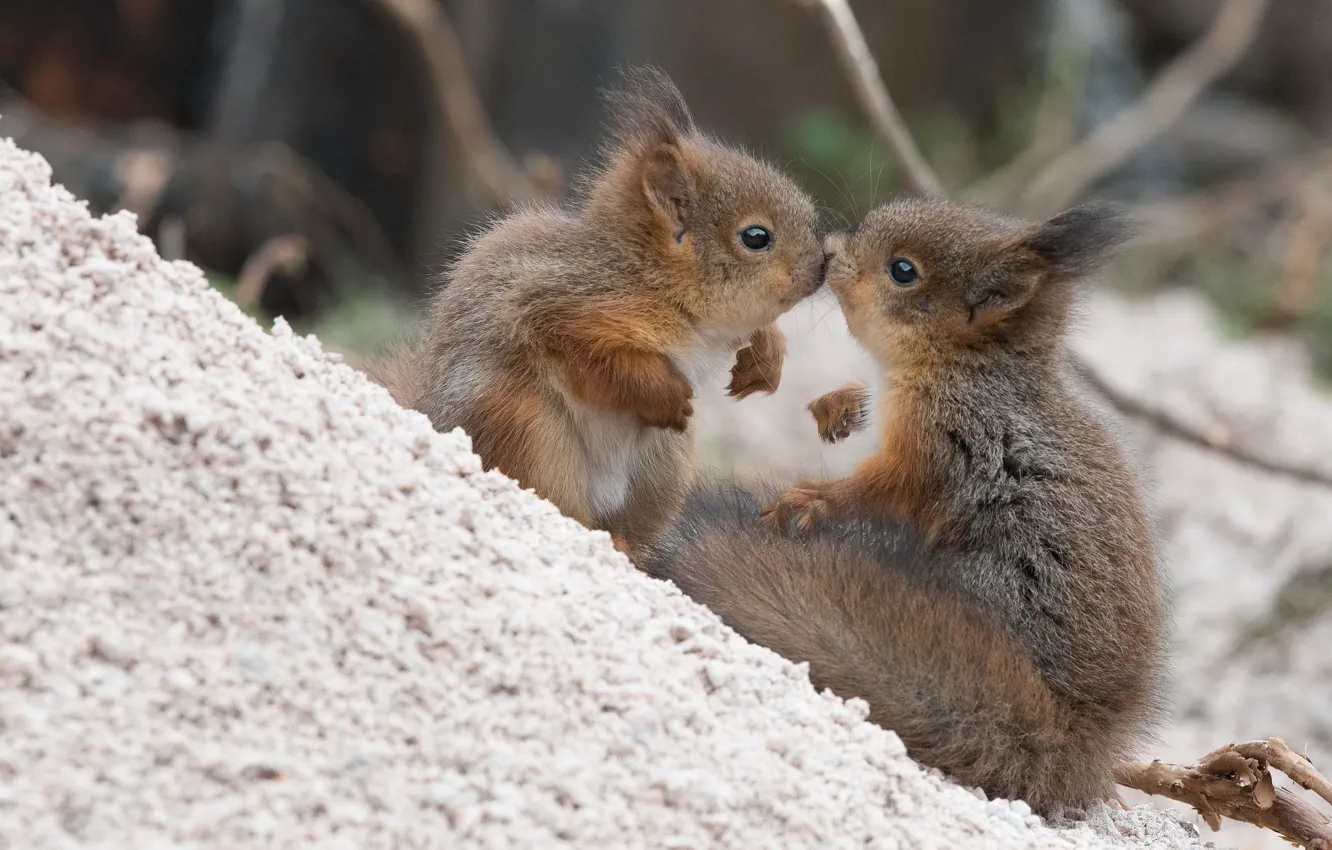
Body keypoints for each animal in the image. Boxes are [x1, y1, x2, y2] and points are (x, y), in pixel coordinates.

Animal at [369, 67, 823, 551]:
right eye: (756, 237)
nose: (823, 266)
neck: (646, 276)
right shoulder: (556, 309)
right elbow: (604, 363)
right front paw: (665, 394)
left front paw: (766, 358)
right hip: (526, 430)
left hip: (663, 466)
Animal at [639, 198, 1165, 818]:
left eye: (903, 271)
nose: (831, 251)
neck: (966, 367)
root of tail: (1078, 736)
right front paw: (842, 406)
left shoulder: (945, 441)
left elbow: (883, 490)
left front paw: (814, 499)